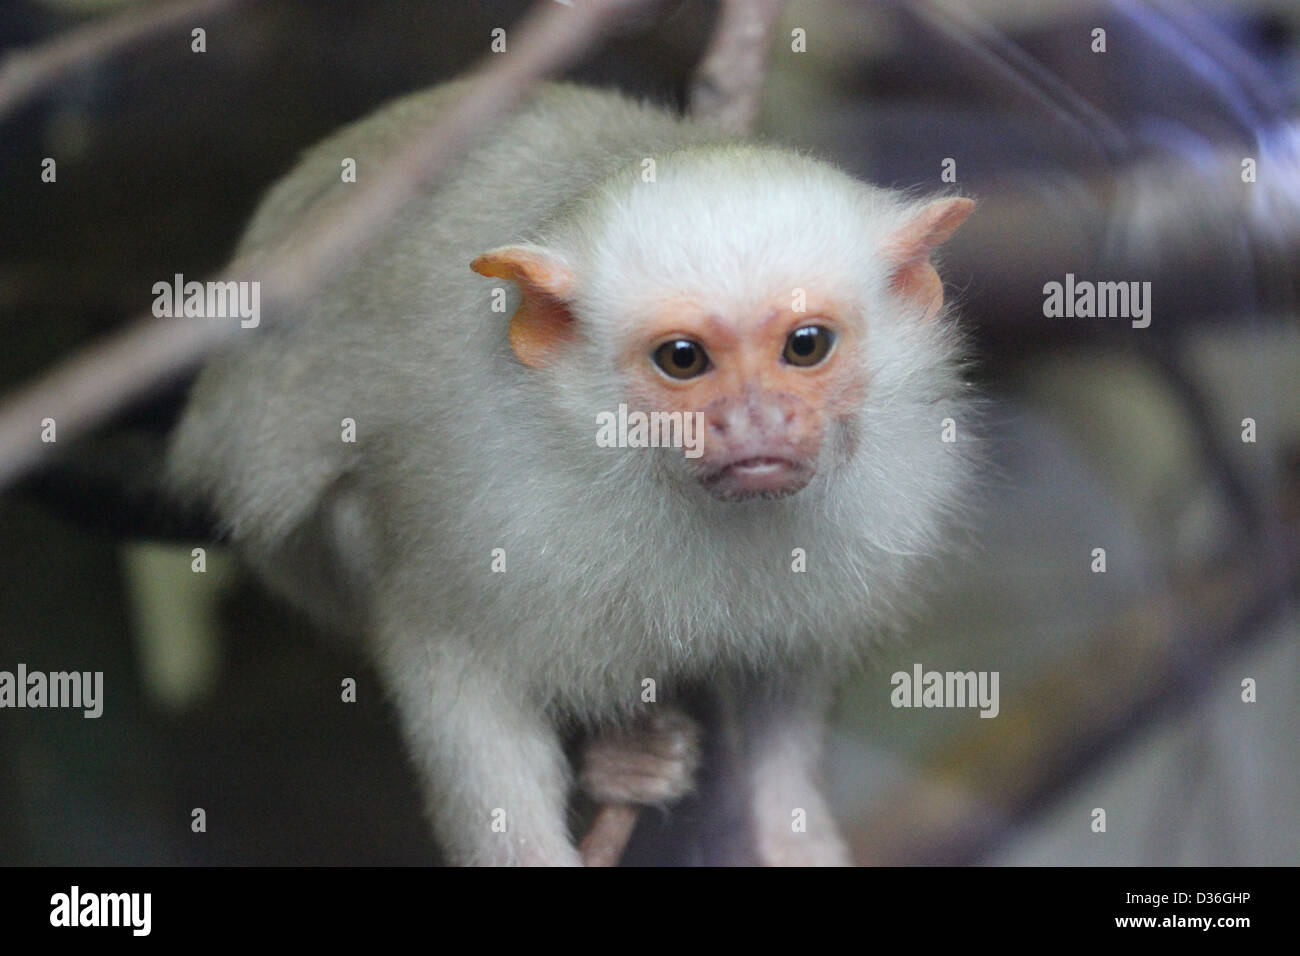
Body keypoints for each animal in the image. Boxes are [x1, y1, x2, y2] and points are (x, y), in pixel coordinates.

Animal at [165, 82, 977, 868]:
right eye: (683, 359)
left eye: (805, 346)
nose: (755, 422)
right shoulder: (488, 517)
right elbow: (454, 676)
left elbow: (787, 685)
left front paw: (790, 835)